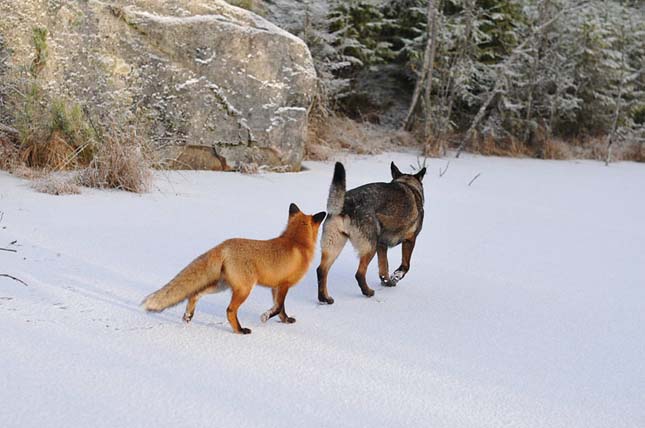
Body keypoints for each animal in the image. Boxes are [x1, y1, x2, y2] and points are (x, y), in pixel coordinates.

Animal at [146, 204, 328, 334]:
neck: (296, 241)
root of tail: (224, 245)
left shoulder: (275, 287)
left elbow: (281, 309)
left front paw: (285, 320)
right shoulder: (284, 285)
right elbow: (277, 308)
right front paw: (265, 317)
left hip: (221, 285)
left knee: (194, 294)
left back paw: (188, 316)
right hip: (244, 289)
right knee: (229, 310)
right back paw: (240, 330)